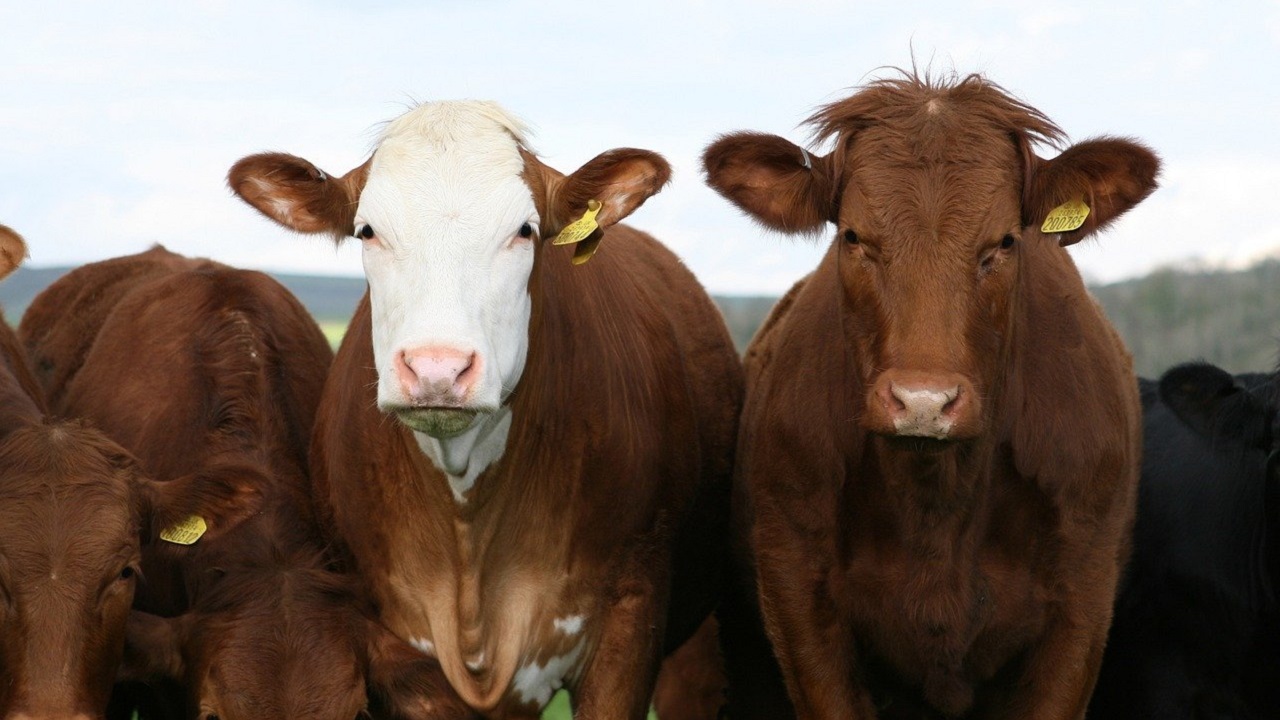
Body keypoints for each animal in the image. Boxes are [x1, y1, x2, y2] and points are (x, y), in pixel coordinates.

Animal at [702, 70, 1159, 719]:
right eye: (852, 236)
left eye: (1005, 242)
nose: (923, 401)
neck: (938, 504)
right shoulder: (797, 598)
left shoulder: (1082, 603)